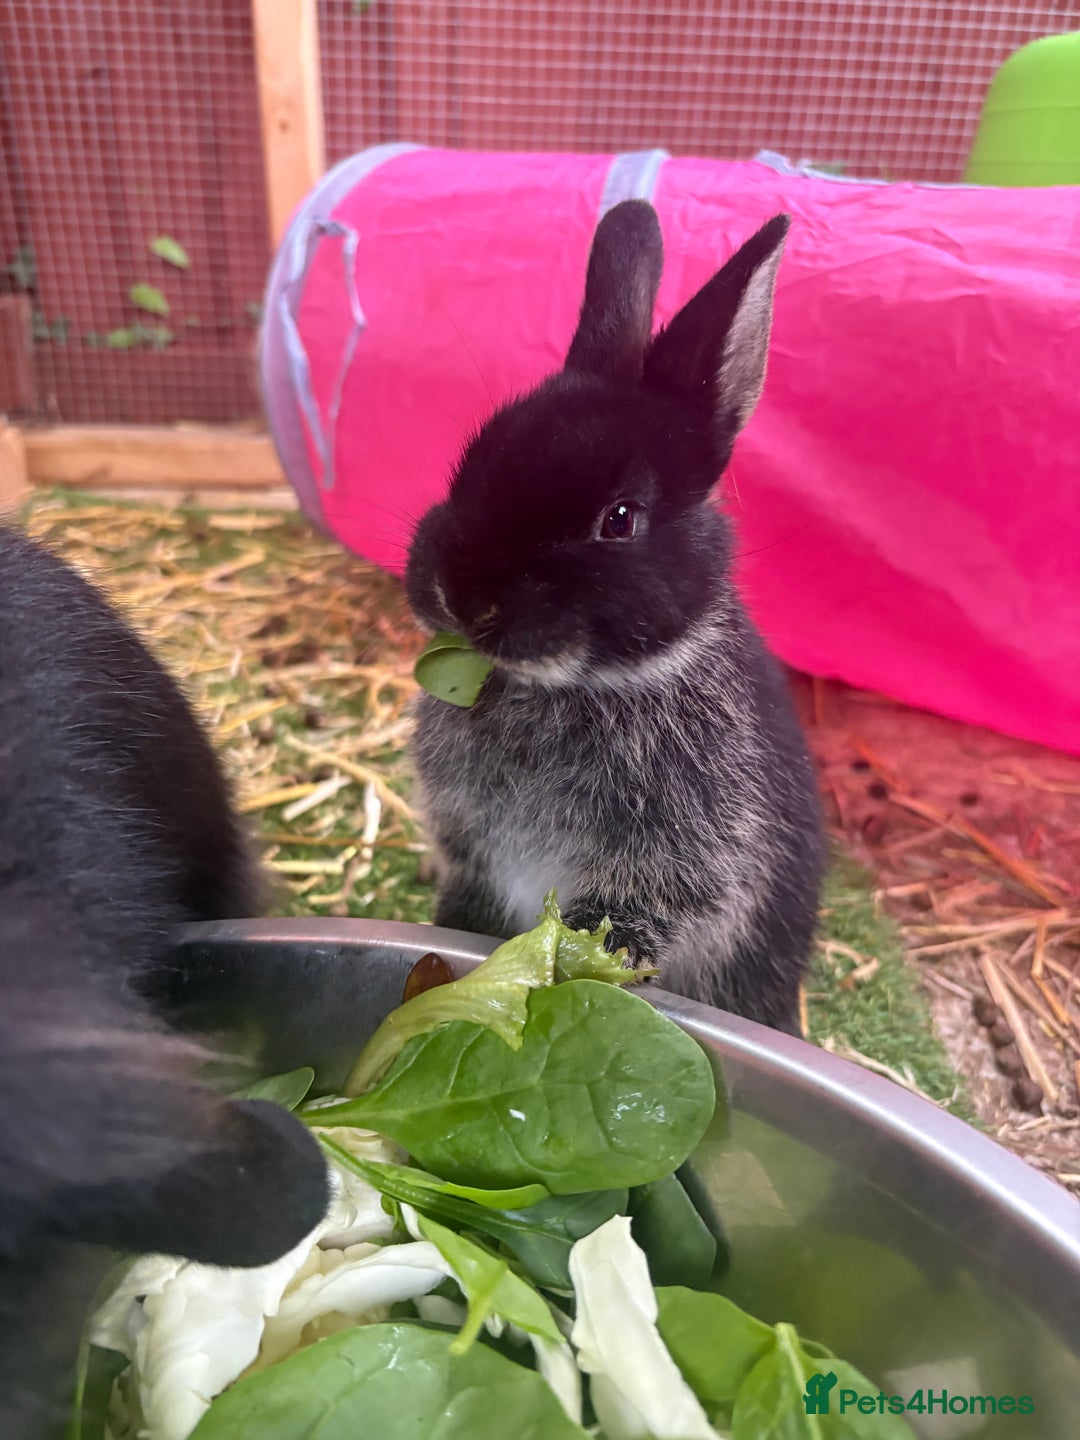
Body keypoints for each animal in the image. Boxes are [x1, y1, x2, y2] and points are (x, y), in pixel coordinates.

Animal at [406, 199, 825, 1035]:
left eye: (620, 519)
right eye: (474, 460)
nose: (459, 595)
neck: (567, 687)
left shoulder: (684, 859)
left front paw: (591, 957)